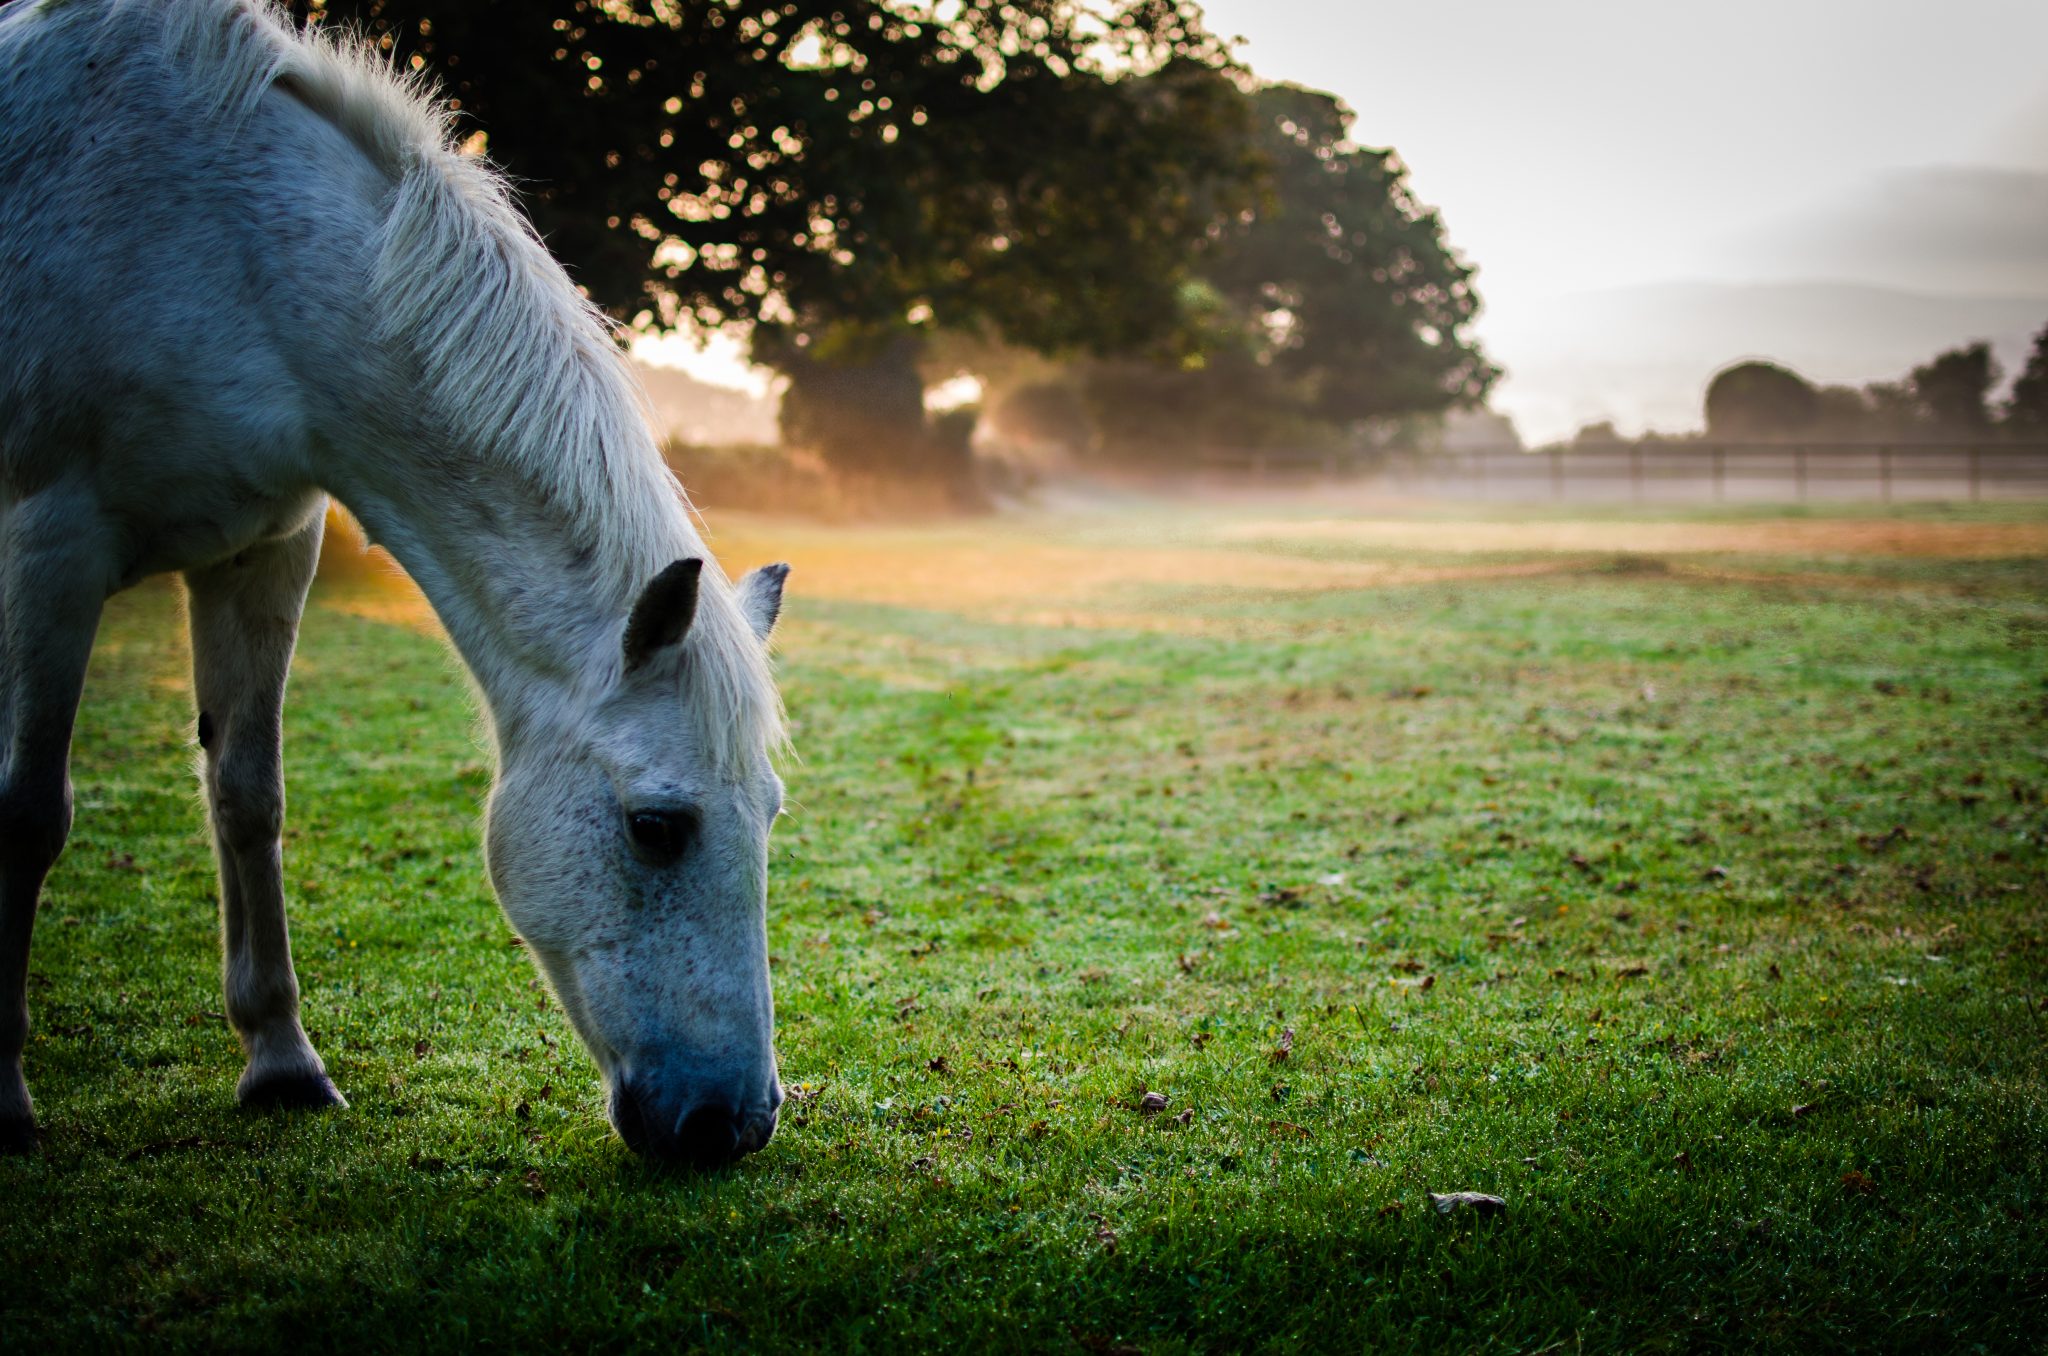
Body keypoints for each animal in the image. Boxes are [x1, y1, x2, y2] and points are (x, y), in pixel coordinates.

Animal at [2, 0, 790, 1171]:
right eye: (658, 827)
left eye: (769, 814)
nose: (730, 1126)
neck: (223, 249)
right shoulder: (51, 538)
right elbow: (29, 811)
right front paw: (3, 1095)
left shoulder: (263, 546)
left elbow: (247, 795)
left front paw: (281, 1063)